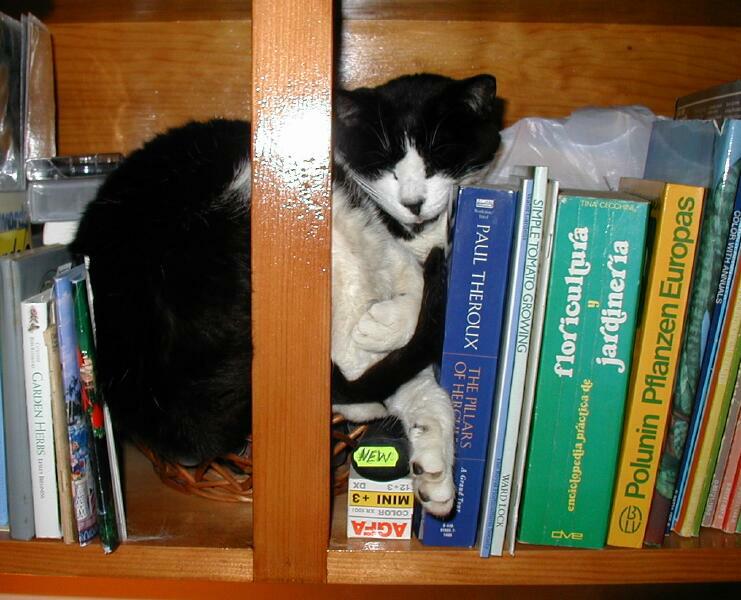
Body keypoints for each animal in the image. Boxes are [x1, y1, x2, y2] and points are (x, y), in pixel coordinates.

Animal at [69, 74, 500, 516]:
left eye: (437, 159)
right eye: (387, 167)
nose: (413, 203)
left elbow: (427, 393)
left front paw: (435, 473)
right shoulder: (366, 234)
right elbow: (406, 287)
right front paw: (384, 326)